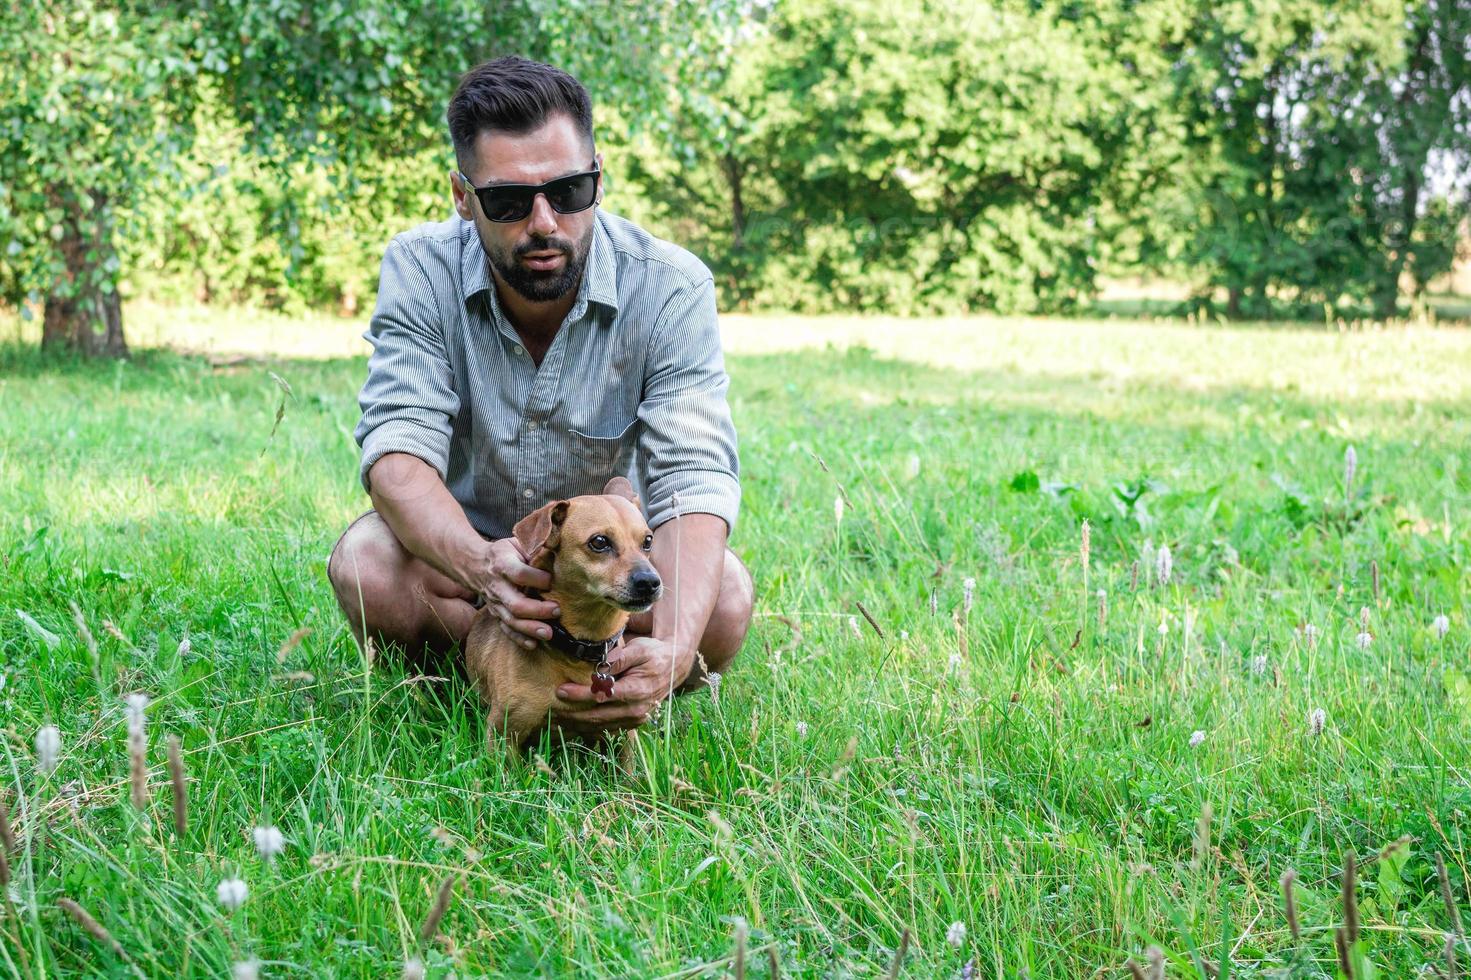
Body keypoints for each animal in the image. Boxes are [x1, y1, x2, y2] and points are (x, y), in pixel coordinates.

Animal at [464, 476, 661, 750]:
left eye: (648, 541)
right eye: (599, 542)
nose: (650, 582)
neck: (584, 642)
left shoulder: (622, 733)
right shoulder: (503, 733)